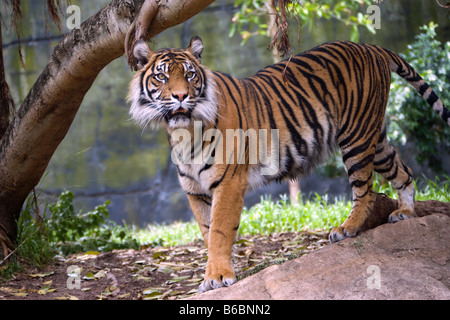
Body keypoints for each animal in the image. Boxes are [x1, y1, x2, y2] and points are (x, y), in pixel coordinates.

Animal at [127, 37, 450, 292]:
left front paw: (218, 277)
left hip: (356, 136)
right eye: (162, 77)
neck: (184, 132)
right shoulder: (195, 190)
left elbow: (219, 231)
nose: (181, 96)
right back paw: (406, 212)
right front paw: (213, 274)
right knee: (403, 171)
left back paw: (346, 229)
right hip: (375, 138)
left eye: (190, 74)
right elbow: (207, 233)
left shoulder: (228, 182)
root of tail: (371, 46)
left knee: (365, 190)